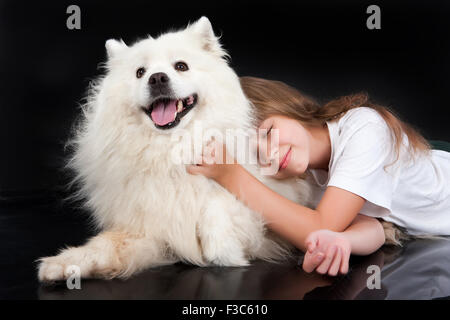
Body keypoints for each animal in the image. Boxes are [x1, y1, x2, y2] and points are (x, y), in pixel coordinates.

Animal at [37, 16, 312, 282]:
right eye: (140, 72)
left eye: (181, 66)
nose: (157, 78)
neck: (171, 150)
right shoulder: (152, 231)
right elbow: (104, 246)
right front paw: (63, 265)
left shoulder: (275, 200)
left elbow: (219, 203)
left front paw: (222, 250)